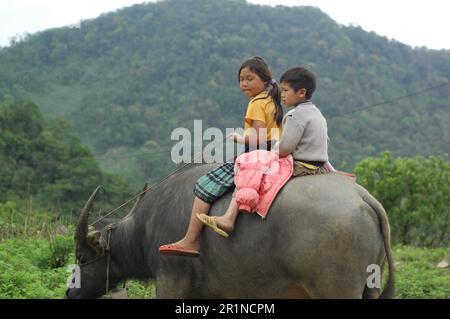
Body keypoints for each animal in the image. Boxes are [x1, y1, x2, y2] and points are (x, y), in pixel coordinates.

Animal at [66, 165, 394, 300]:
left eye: (81, 256)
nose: (70, 292)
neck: (142, 230)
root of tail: (363, 197)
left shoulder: (171, 281)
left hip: (336, 290)